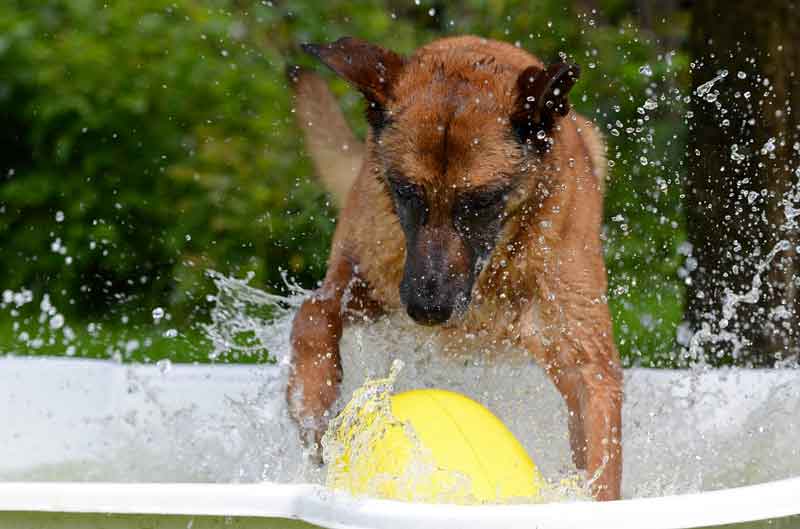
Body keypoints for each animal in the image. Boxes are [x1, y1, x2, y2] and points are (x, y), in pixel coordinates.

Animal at [284, 36, 620, 500]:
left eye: (481, 202)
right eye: (407, 193)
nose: (428, 310)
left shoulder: (584, 358)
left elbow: (601, 451)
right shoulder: (367, 279)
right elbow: (314, 315)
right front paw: (312, 401)